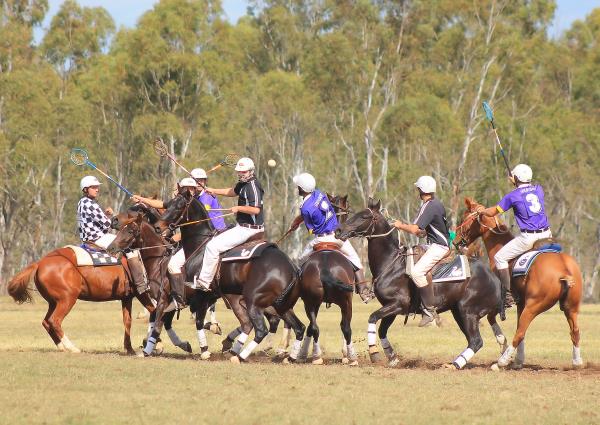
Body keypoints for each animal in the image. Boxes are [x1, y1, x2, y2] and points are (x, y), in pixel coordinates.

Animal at [6, 221, 158, 354]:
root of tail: (40, 263)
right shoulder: (141, 294)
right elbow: (154, 312)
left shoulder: (126, 298)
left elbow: (128, 321)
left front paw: (130, 348)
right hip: (67, 299)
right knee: (54, 321)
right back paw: (72, 348)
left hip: (54, 302)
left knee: (46, 322)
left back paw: (61, 347)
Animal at [151, 189, 306, 363]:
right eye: (167, 204)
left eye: (179, 207)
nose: (158, 227)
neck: (200, 244)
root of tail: (292, 268)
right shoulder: (211, 295)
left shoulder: (202, 293)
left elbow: (199, 321)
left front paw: (204, 350)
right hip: (282, 305)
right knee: (298, 327)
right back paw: (290, 357)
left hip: (253, 300)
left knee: (261, 329)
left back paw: (239, 356)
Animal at [335, 198, 508, 369]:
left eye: (364, 217)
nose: (338, 230)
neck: (390, 263)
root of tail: (494, 277)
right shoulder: (390, 307)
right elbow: (382, 330)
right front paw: (392, 357)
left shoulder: (398, 304)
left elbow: (372, 318)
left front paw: (374, 352)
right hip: (458, 311)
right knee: (473, 340)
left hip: (468, 311)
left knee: (476, 341)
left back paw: (454, 365)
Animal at [453, 197, 583, 369]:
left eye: (464, 218)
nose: (455, 242)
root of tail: (564, 269)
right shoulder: (521, 302)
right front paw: (518, 359)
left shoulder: (499, 302)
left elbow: (492, 319)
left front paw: (504, 348)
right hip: (570, 307)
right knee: (574, 331)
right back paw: (577, 362)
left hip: (534, 305)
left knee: (520, 332)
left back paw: (500, 363)